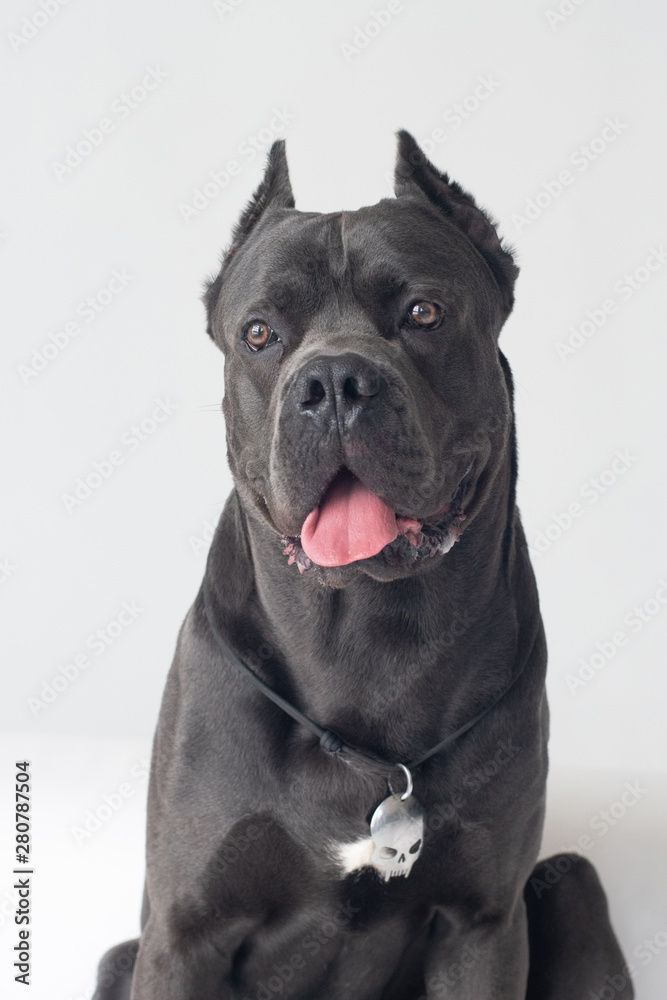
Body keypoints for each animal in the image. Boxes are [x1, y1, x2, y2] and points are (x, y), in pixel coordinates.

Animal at [91, 135, 636, 1000]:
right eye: (258, 332)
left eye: (423, 313)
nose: (334, 381)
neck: (364, 637)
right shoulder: (184, 931)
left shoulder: (482, 925)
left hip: (569, 876)